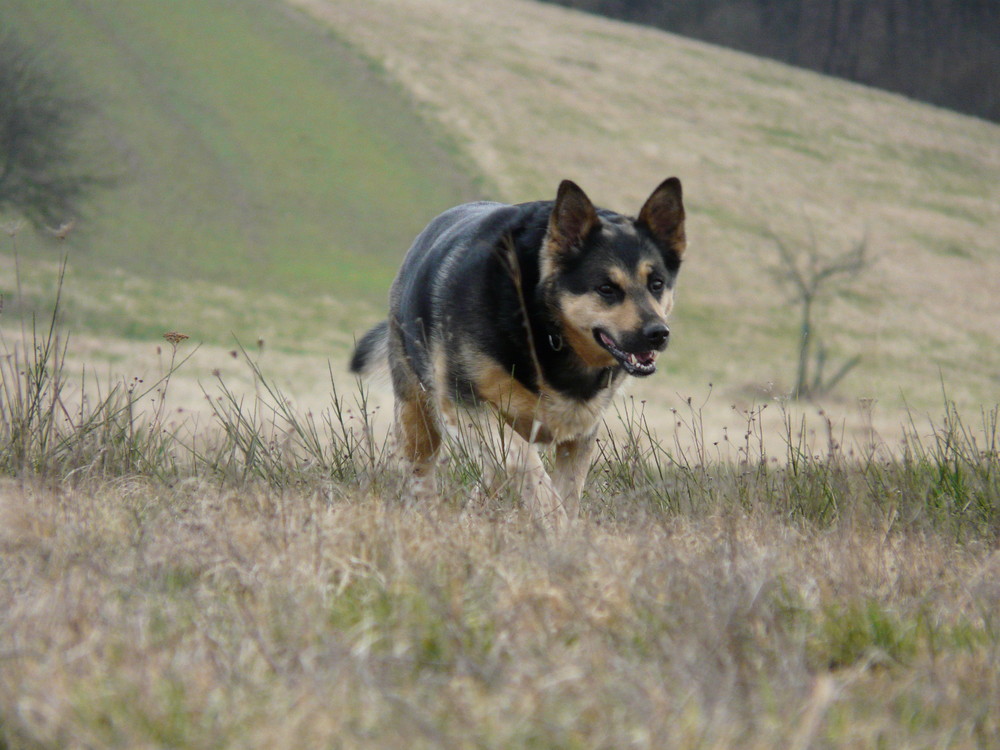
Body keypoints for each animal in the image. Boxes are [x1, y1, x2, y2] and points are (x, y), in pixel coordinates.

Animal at [348, 178, 684, 524]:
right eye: (606, 288)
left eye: (657, 284)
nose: (658, 334)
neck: (543, 321)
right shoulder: (465, 405)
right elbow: (525, 463)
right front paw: (552, 518)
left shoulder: (580, 434)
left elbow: (566, 489)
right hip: (416, 412)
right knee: (425, 471)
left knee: (492, 473)